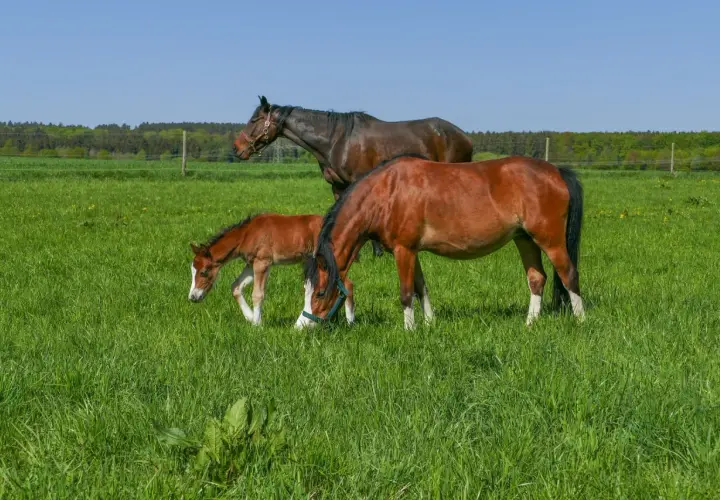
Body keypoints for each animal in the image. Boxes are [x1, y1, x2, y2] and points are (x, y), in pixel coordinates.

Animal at [188, 213, 355, 326]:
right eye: (192, 271)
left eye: (204, 272)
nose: (193, 297)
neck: (247, 234)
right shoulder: (251, 264)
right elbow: (236, 286)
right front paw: (250, 317)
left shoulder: (262, 262)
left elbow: (257, 294)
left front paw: (257, 325)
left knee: (347, 283)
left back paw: (350, 322)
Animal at [232, 95, 474, 257]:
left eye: (254, 120)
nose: (237, 148)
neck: (337, 140)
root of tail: (464, 136)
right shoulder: (337, 186)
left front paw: (376, 252)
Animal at [294, 154, 585, 330]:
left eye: (319, 293)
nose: (301, 326)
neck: (386, 191)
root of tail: (556, 171)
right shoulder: (412, 251)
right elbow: (421, 288)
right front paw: (429, 324)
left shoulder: (403, 250)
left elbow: (406, 292)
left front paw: (409, 330)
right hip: (524, 239)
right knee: (537, 279)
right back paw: (529, 324)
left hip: (550, 240)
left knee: (569, 274)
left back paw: (581, 321)